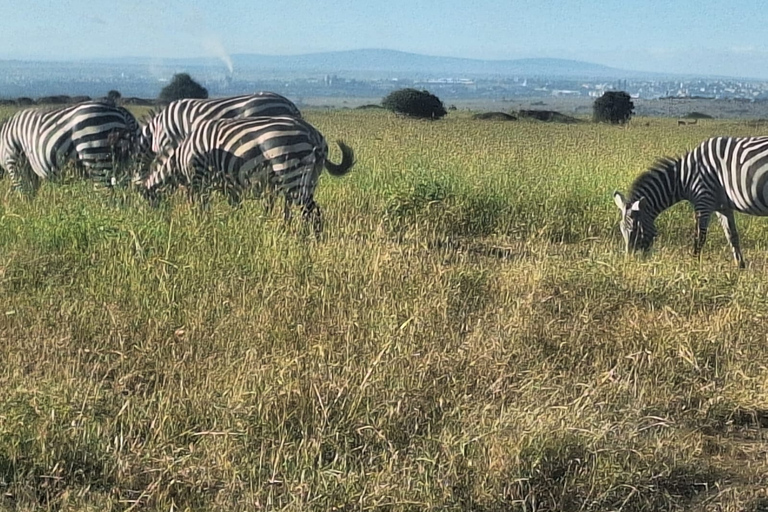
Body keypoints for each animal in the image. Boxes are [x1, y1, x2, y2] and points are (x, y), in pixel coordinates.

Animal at [0, 101, 140, 196]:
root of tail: (121, 112)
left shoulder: (14, 161)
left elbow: (24, 194)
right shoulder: (27, 168)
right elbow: (31, 192)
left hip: (96, 154)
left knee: (105, 194)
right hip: (125, 164)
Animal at [142, 116, 354, 234]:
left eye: (149, 200)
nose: (156, 222)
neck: (180, 158)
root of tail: (313, 134)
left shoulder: (199, 179)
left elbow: (200, 207)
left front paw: (201, 225)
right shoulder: (228, 183)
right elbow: (235, 206)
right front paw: (236, 226)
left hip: (290, 169)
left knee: (311, 210)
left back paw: (311, 238)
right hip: (310, 177)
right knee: (307, 209)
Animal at [612, 135, 768, 268]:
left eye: (636, 229)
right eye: (621, 229)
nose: (630, 262)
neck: (684, 177)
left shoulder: (703, 200)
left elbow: (699, 237)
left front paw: (694, 266)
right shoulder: (722, 206)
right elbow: (732, 236)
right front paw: (740, 267)